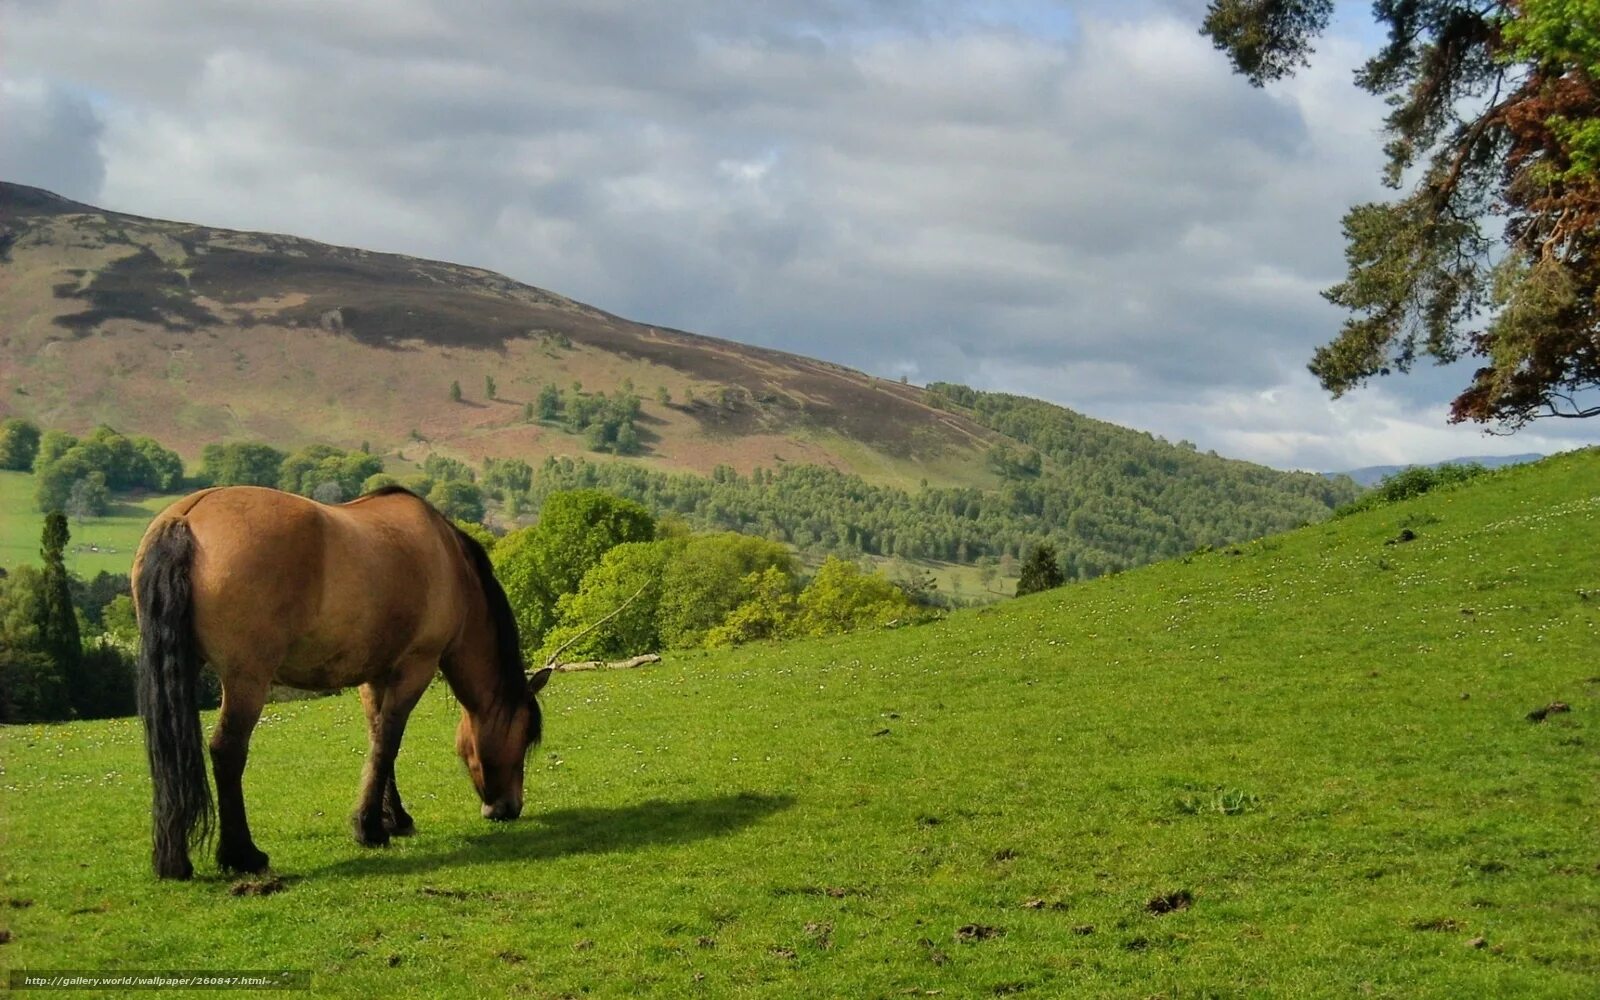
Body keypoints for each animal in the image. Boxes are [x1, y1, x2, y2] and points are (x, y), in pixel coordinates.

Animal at [128, 486, 550, 876]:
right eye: (525, 737)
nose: (508, 808)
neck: (449, 560)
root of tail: (186, 517)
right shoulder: (416, 667)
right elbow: (388, 743)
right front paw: (370, 829)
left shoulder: (376, 676)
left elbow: (379, 741)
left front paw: (393, 819)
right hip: (246, 679)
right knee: (227, 751)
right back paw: (243, 855)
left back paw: (174, 861)